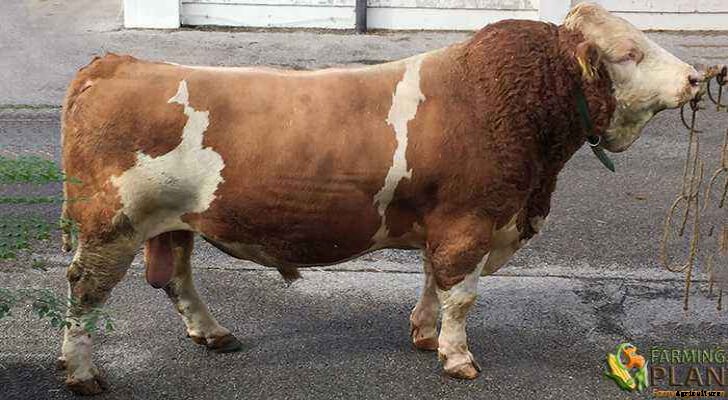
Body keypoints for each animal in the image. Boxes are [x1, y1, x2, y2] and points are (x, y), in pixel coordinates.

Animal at [57, 2, 703, 394]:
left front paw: (423, 335)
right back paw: (82, 372)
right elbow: (461, 295)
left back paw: (213, 334)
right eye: (628, 54)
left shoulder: (445, 225)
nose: (698, 77)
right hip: (110, 225)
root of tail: (116, 65)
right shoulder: (470, 221)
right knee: (85, 293)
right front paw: (457, 358)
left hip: (175, 221)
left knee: (174, 277)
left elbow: (432, 282)